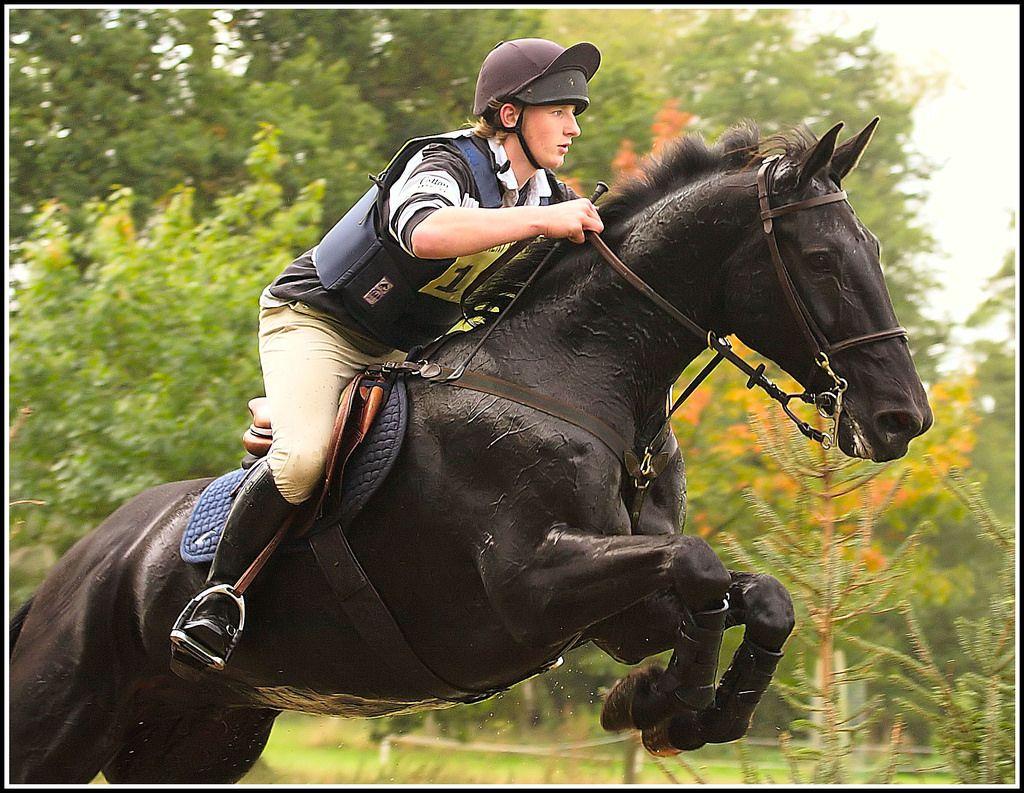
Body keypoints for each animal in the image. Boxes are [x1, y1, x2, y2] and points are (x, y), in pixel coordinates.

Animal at [9, 118, 932, 783]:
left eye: (875, 251)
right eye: (820, 257)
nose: (903, 419)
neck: (579, 375)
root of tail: (80, 561)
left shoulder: (615, 606)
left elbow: (755, 595)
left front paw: (678, 709)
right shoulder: (523, 588)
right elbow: (700, 565)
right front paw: (660, 702)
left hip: (197, 738)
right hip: (59, 718)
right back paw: (208, 619)